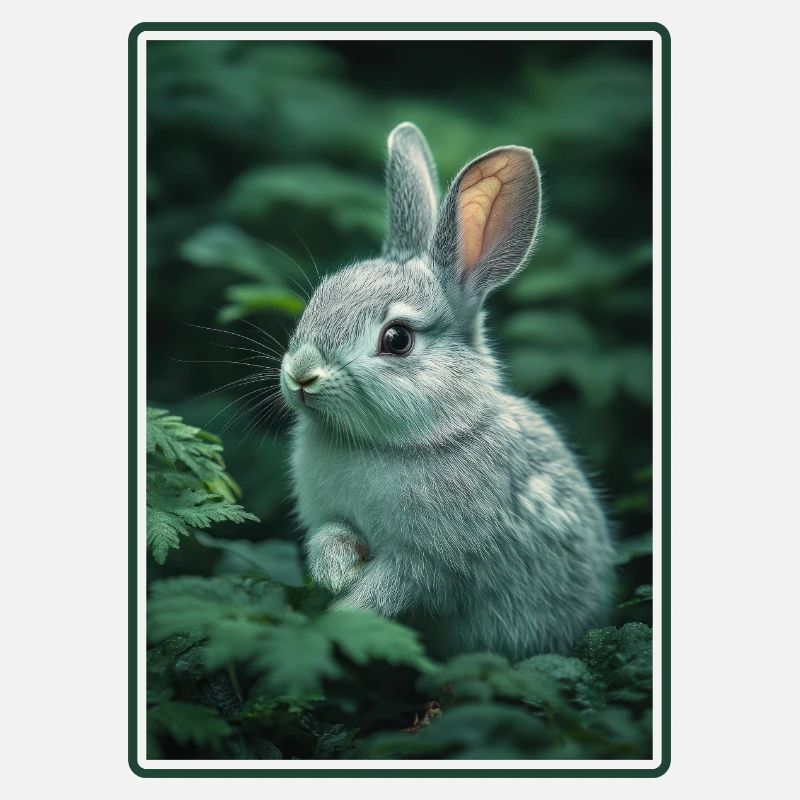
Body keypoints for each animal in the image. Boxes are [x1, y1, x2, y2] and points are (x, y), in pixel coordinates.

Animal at [279, 122, 615, 661]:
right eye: (320, 297)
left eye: (397, 339)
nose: (302, 375)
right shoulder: (329, 518)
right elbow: (329, 537)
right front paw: (340, 572)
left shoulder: (431, 563)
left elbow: (392, 586)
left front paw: (343, 614)